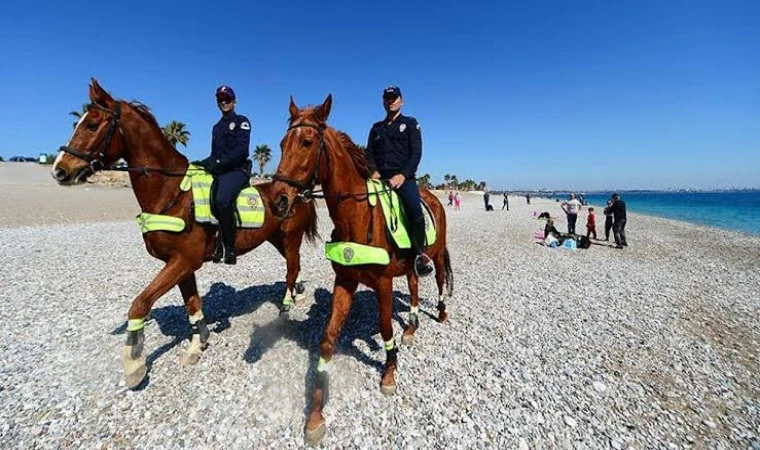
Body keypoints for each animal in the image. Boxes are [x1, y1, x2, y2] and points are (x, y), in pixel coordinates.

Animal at [50, 79, 318, 388]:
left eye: (92, 125)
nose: (59, 170)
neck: (172, 194)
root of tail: (297, 190)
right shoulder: (180, 264)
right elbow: (192, 304)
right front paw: (196, 345)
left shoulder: (183, 261)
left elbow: (139, 304)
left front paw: (134, 364)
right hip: (276, 240)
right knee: (293, 268)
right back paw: (297, 292)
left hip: (290, 238)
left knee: (292, 267)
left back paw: (288, 303)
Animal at [272, 94, 452, 442]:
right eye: (282, 143)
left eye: (307, 141)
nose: (278, 200)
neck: (357, 217)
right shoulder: (345, 282)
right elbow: (328, 339)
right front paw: (316, 414)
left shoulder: (382, 283)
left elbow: (384, 328)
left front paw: (390, 373)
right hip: (410, 267)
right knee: (413, 285)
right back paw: (411, 327)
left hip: (435, 256)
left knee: (437, 280)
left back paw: (441, 312)